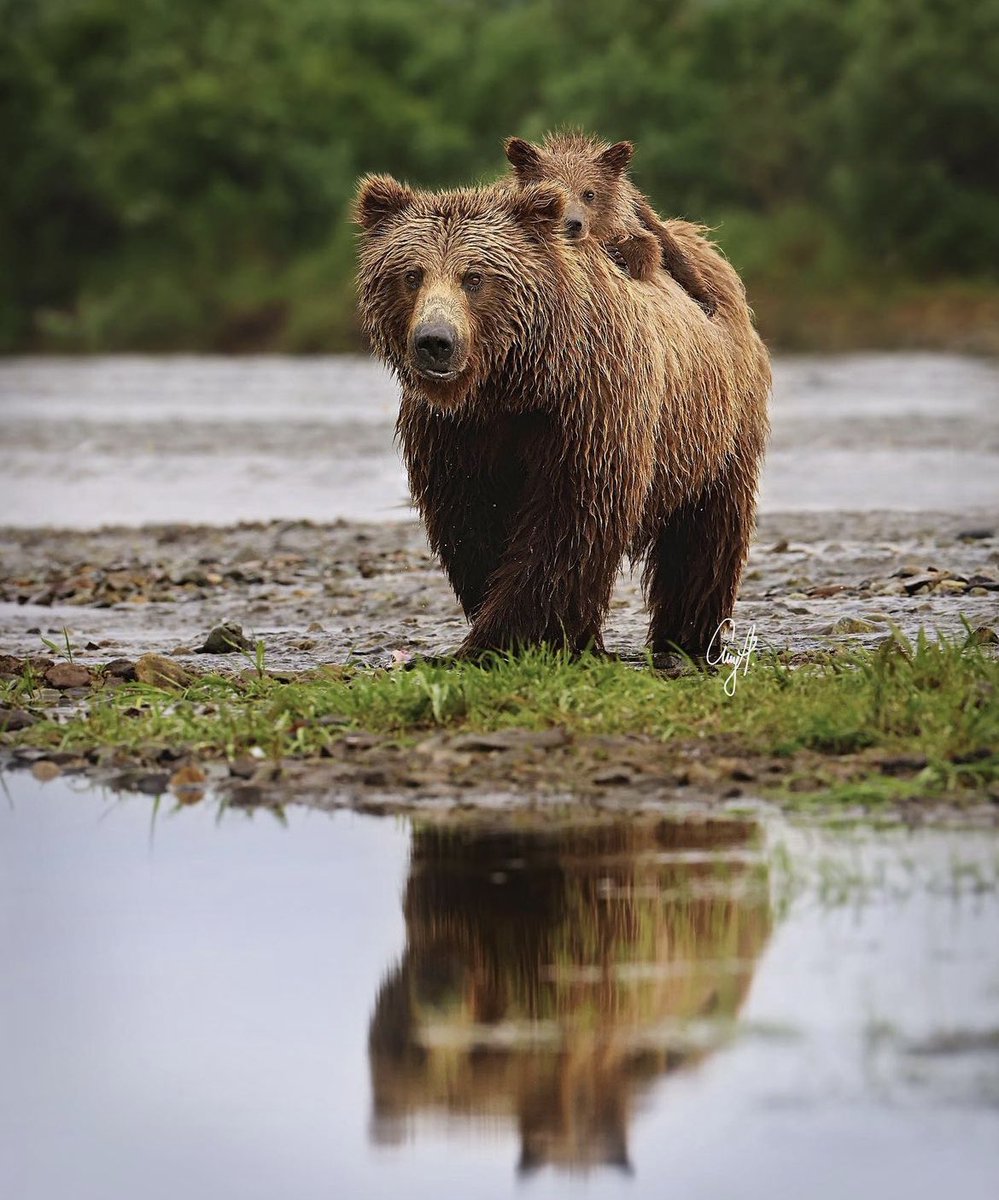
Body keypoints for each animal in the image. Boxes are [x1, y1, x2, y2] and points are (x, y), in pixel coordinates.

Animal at [353, 175, 770, 658]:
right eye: (411, 274)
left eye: (474, 277)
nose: (434, 341)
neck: (511, 385)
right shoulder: (457, 434)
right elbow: (471, 526)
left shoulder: (587, 410)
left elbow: (568, 524)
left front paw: (507, 639)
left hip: (715, 429)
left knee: (706, 536)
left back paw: (688, 638)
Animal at [505, 130, 723, 317]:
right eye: (551, 191)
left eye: (589, 194)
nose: (573, 223)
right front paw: (612, 251)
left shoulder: (633, 218)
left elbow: (650, 249)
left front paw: (619, 254)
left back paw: (706, 301)